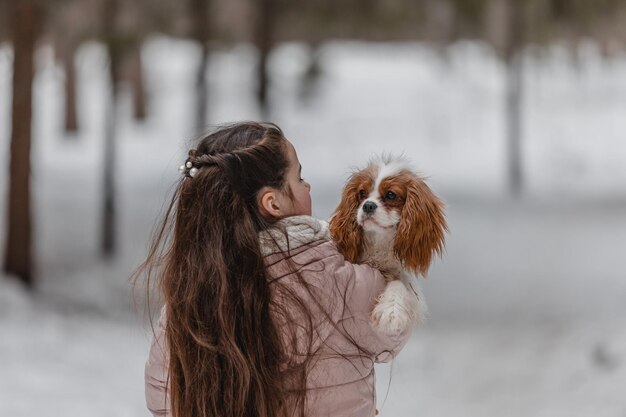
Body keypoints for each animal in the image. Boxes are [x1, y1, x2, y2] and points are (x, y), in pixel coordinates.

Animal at [330, 154, 446, 334]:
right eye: (362, 193)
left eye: (391, 195)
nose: (368, 205)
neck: (378, 241)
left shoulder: (401, 277)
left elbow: (400, 283)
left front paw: (391, 311)